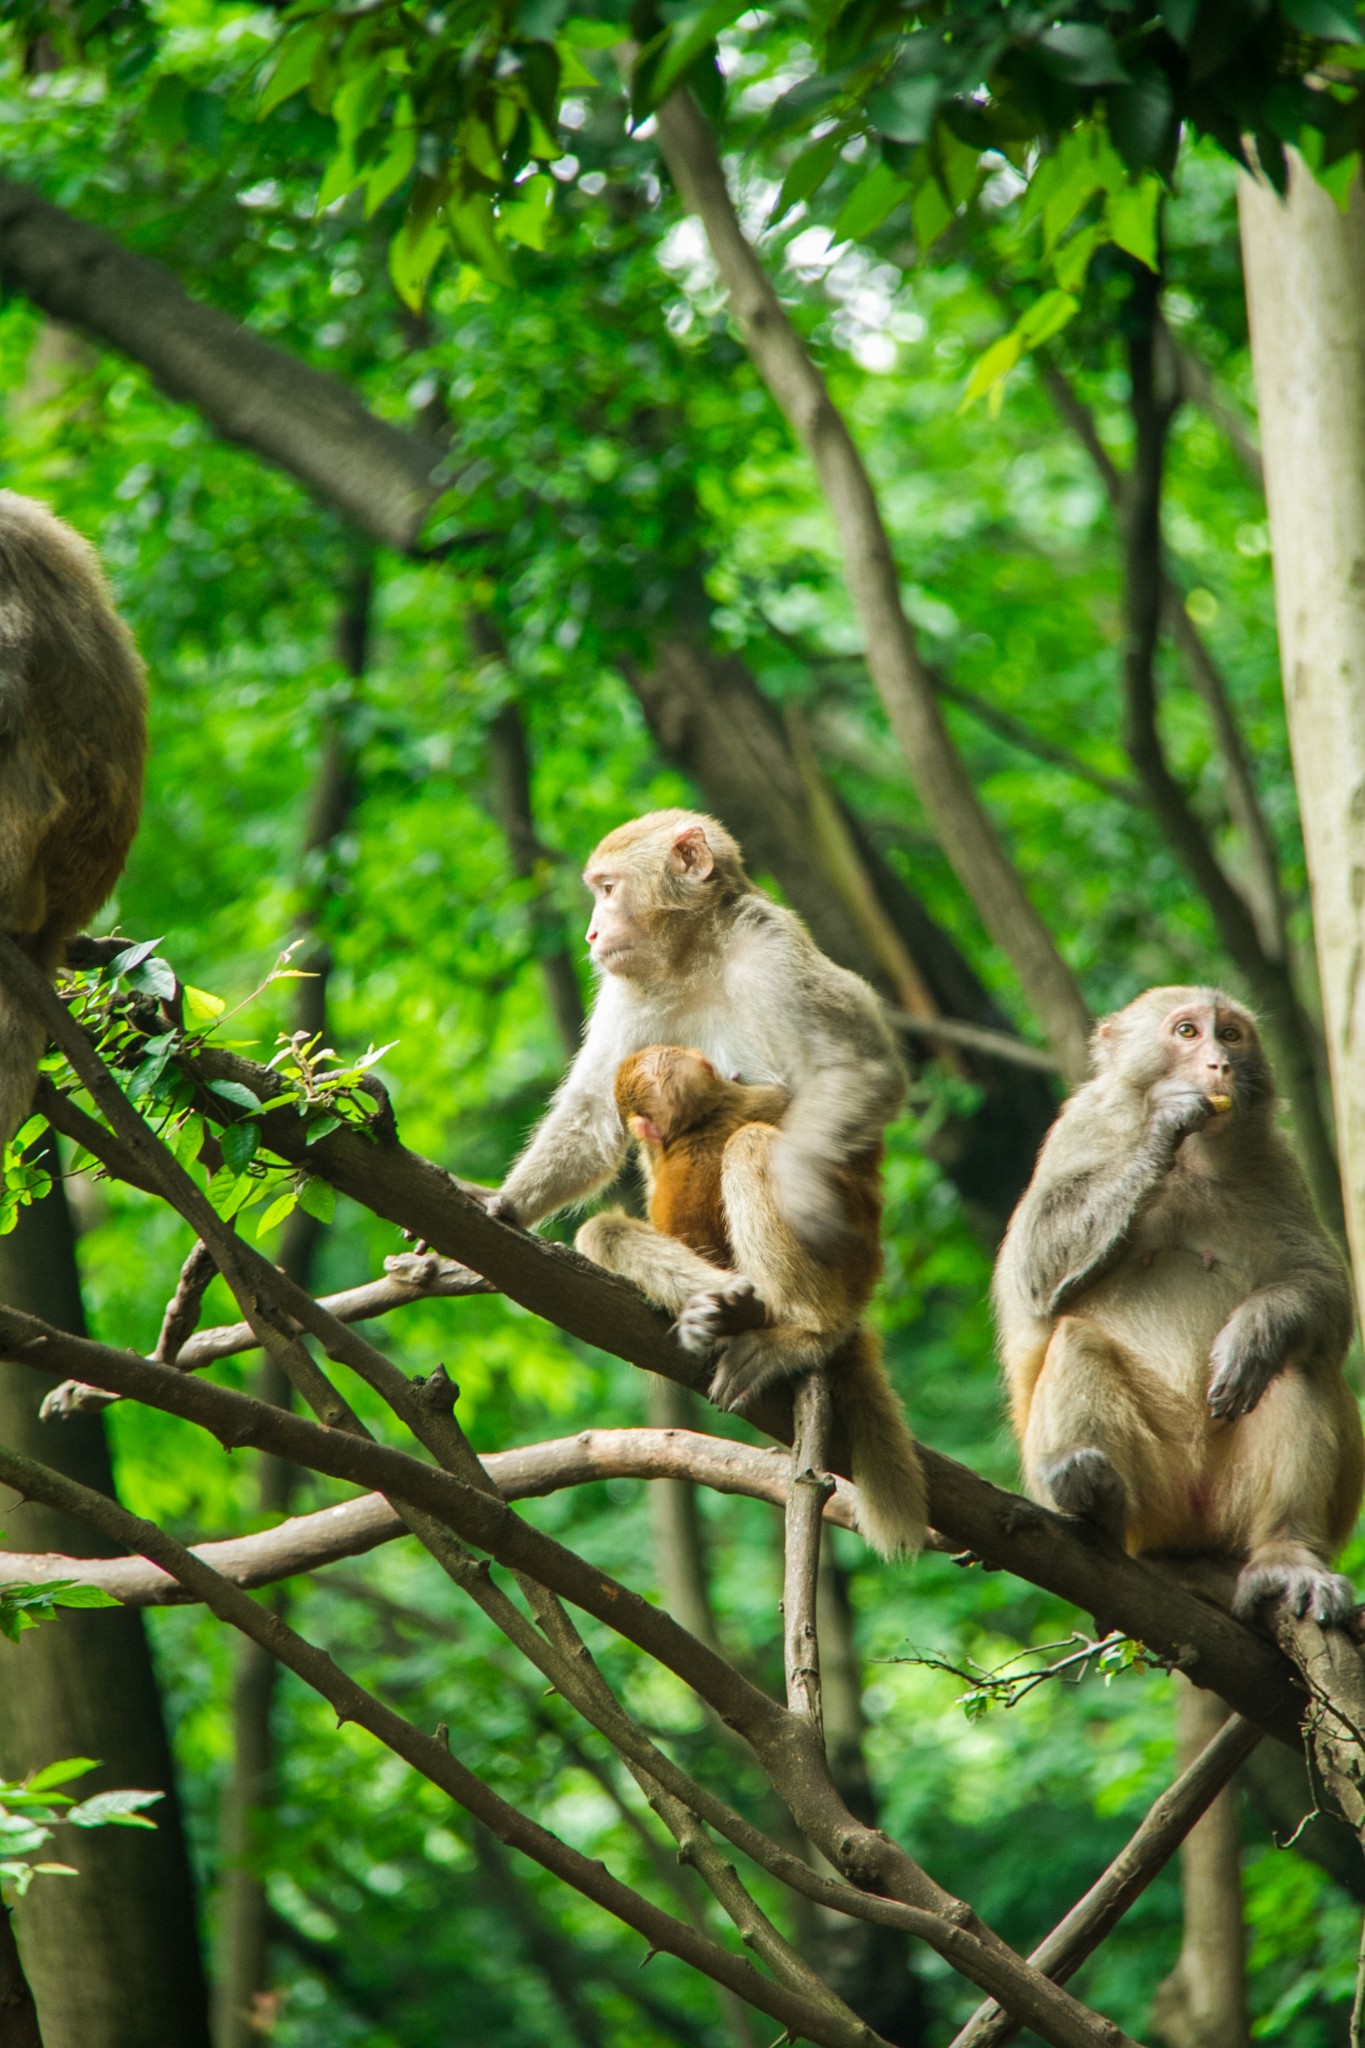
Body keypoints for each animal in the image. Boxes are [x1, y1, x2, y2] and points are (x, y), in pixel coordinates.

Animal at [491, 802, 908, 1253]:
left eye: (608, 890)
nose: (591, 934)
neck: (694, 958)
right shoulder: (624, 989)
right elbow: (594, 1111)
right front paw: (510, 1203)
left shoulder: (771, 947)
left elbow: (862, 1071)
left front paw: (799, 1188)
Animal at [994, 983, 1365, 1622]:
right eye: (1188, 1032)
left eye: (1232, 1034)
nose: (1220, 1064)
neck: (1191, 1157)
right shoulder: (1079, 1128)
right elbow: (1033, 1273)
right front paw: (1164, 1121)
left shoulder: (1276, 1161)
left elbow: (1325, 1293)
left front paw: (1253, 1332)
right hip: (1155, 1499)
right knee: (1076, 1339)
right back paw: (1093, 1499)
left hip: (1229, 1500)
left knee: (1294, 1362)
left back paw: (1286, 1553)